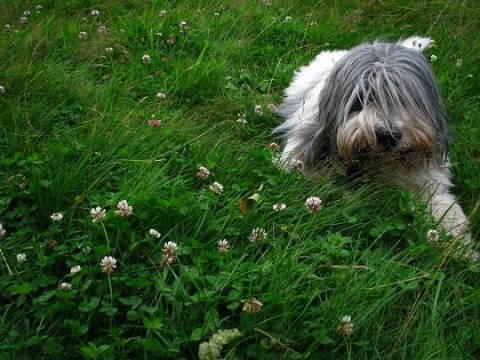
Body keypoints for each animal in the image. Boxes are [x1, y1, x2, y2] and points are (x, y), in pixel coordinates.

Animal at [276, 36, 474, 258]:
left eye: (405, 98)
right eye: (362, 97)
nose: (387, 136)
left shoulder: (429, 180)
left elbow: (445, 211)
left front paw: (463, 250)